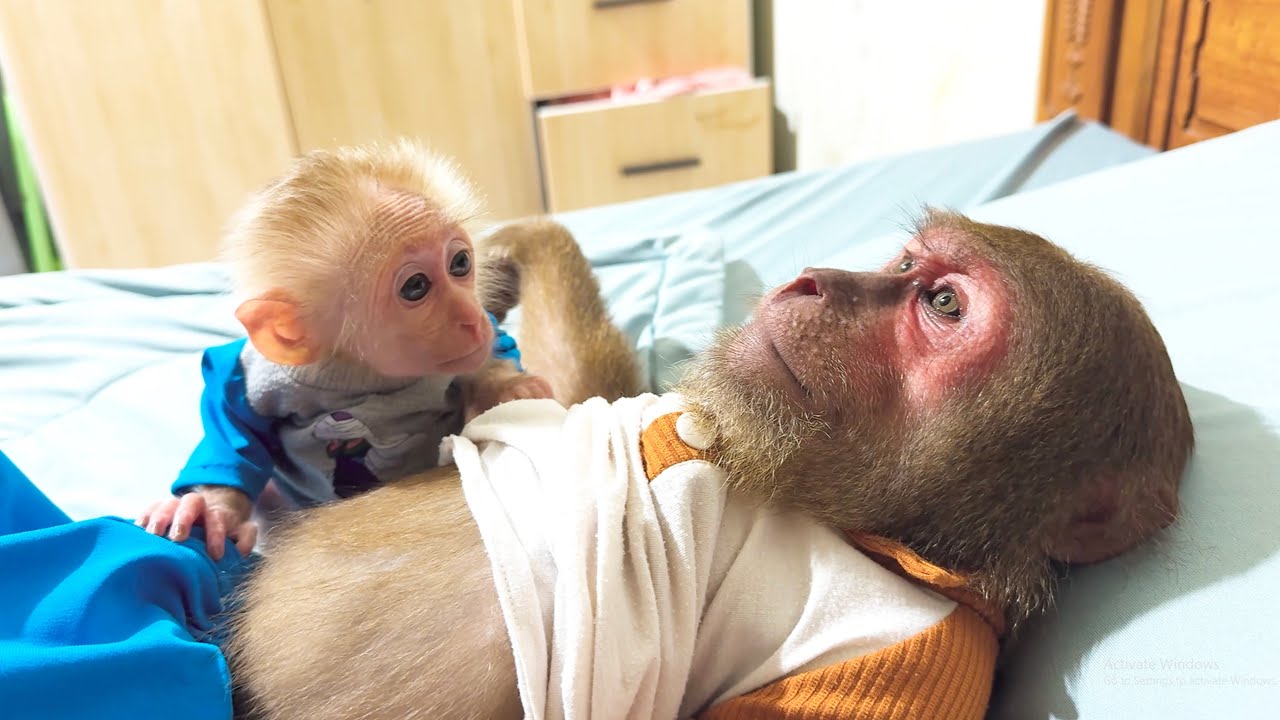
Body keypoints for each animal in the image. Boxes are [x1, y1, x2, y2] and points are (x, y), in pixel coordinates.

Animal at [136, 140, 552, 561]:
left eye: (460, 263)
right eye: (416, 286)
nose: (472, 317)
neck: (358, 374)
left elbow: (492, 356)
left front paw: (508, 386)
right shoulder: (258, 371)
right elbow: (228, 415)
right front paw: (210, 507)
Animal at [224, 211, 1193, 719]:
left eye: (944, 305)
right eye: (905, 263)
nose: (811, 279)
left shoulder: (904, 650)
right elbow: (574, 398)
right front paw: (503, 260)